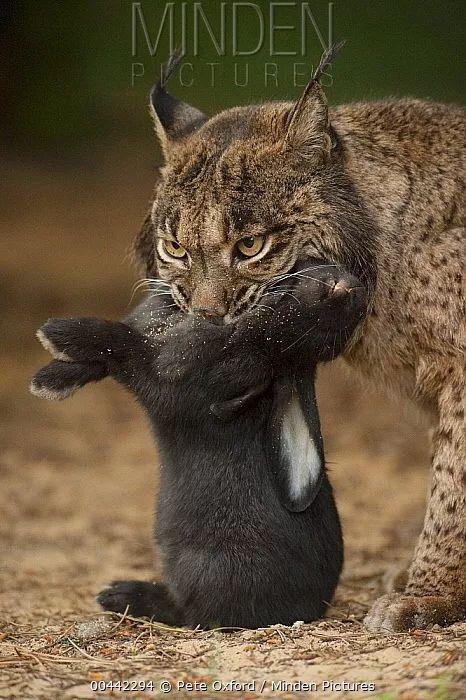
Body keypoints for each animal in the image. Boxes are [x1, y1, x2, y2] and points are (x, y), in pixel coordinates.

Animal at [31, 266, 368, 628]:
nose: (348, 288)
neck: (262, 334)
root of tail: (304, 611)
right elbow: (98, 361)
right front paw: (51, 378)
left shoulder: (165, 373)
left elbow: (120, 345)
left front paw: (56, 334)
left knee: (189, 612)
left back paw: (120, 594)